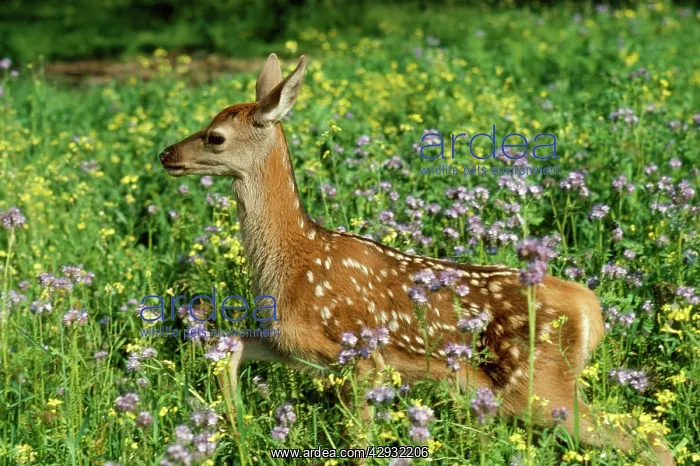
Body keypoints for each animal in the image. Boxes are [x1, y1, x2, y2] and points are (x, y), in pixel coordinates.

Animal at [158, 53, 675, 466]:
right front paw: (234, 430)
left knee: (651, 442)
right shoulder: (293, 343)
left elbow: (360, 441)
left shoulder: (359, 352)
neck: (293, 259)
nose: (166, 154)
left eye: (215, 137)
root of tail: (590, 306)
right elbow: (230, 345)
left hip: (539, 384)